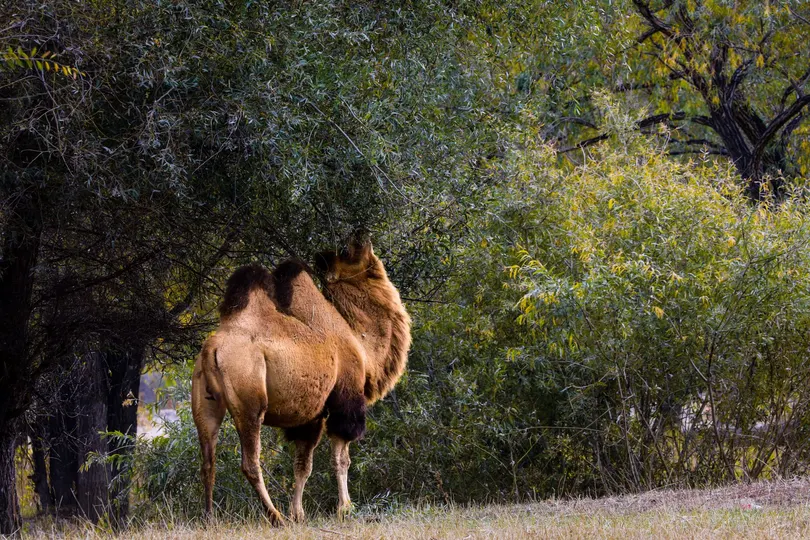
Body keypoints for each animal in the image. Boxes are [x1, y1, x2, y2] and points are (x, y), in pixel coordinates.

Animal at [191, 232, 411, 525]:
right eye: (349, 255)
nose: (361, 237)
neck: (363, 347)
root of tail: (212, 349)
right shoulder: (344, 401)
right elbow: (340, 459)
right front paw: (344, 508)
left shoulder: (310, 415)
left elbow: (302, 465)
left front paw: (299, 513)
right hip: (250, 400)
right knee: (250, 462)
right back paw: (275, 517)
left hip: (204, 401)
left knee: (207, 460)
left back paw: (209, 517)